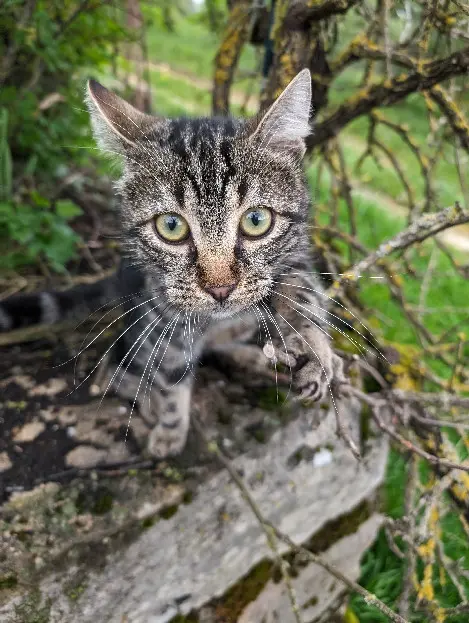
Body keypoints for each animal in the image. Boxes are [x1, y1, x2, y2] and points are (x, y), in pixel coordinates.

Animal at [0, 70, 344, 458]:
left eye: (257, 221)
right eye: (171, 226)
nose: (220, 288)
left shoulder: (295, 256)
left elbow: (303, 294)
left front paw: (315, 351)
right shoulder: (162, 318)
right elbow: (171, 376)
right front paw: (170, 428)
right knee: (116, 366)